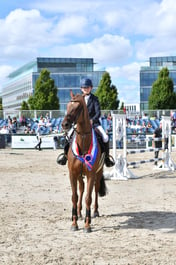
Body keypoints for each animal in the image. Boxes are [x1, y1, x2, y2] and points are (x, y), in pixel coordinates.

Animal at [61, 91, 106, 231]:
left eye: (78, 107)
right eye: (68, 106)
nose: (65, 124)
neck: (83, 141)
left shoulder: (91, 174)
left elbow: (88, 198)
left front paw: (87, 224)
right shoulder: (72, 174)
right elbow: (75, 197)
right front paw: (74, 222)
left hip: (98, 173)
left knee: (95, 190)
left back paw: (95, 212)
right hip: (80, 175)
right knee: (81, 189)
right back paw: (79, 213)